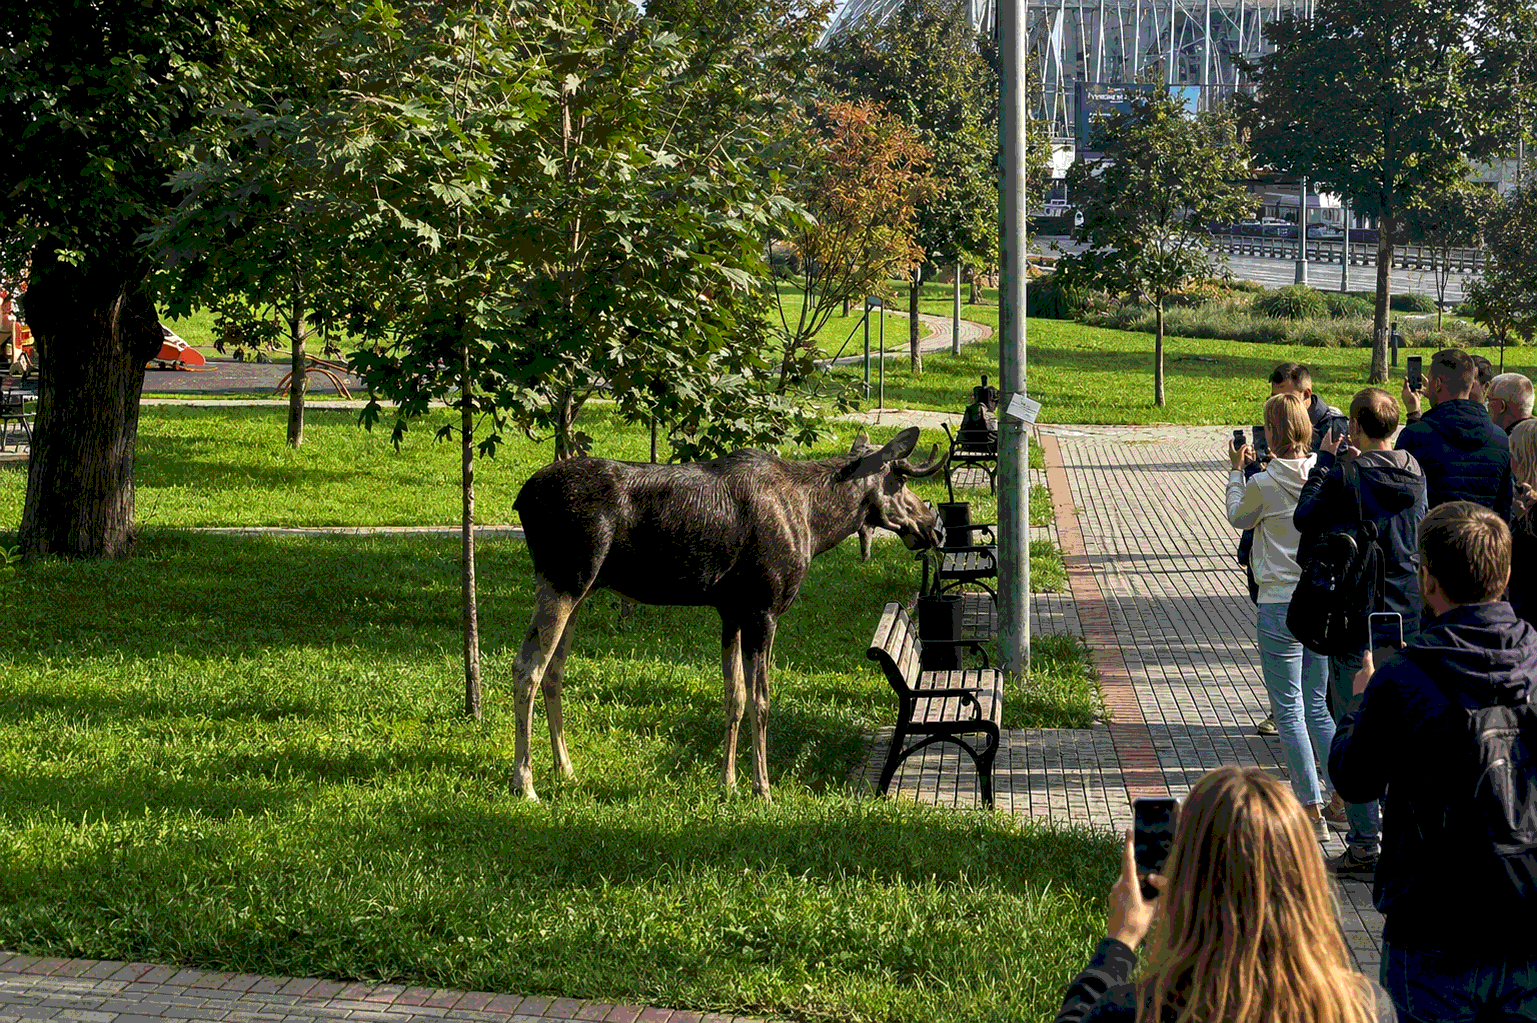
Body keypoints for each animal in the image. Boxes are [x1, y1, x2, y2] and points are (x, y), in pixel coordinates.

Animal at [510, 427, 946, 802]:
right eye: (899, 480)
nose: (931, 526)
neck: (817, 524)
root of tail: (521, 498)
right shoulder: (763, 609)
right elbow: (761, 700)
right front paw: (762, 788)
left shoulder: (731, 611)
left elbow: (732, 697)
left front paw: (728, 783)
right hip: (565, 581)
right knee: (527, 668)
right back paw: (525, 783)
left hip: (579, 589)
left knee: (553, 671)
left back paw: (565, 769)